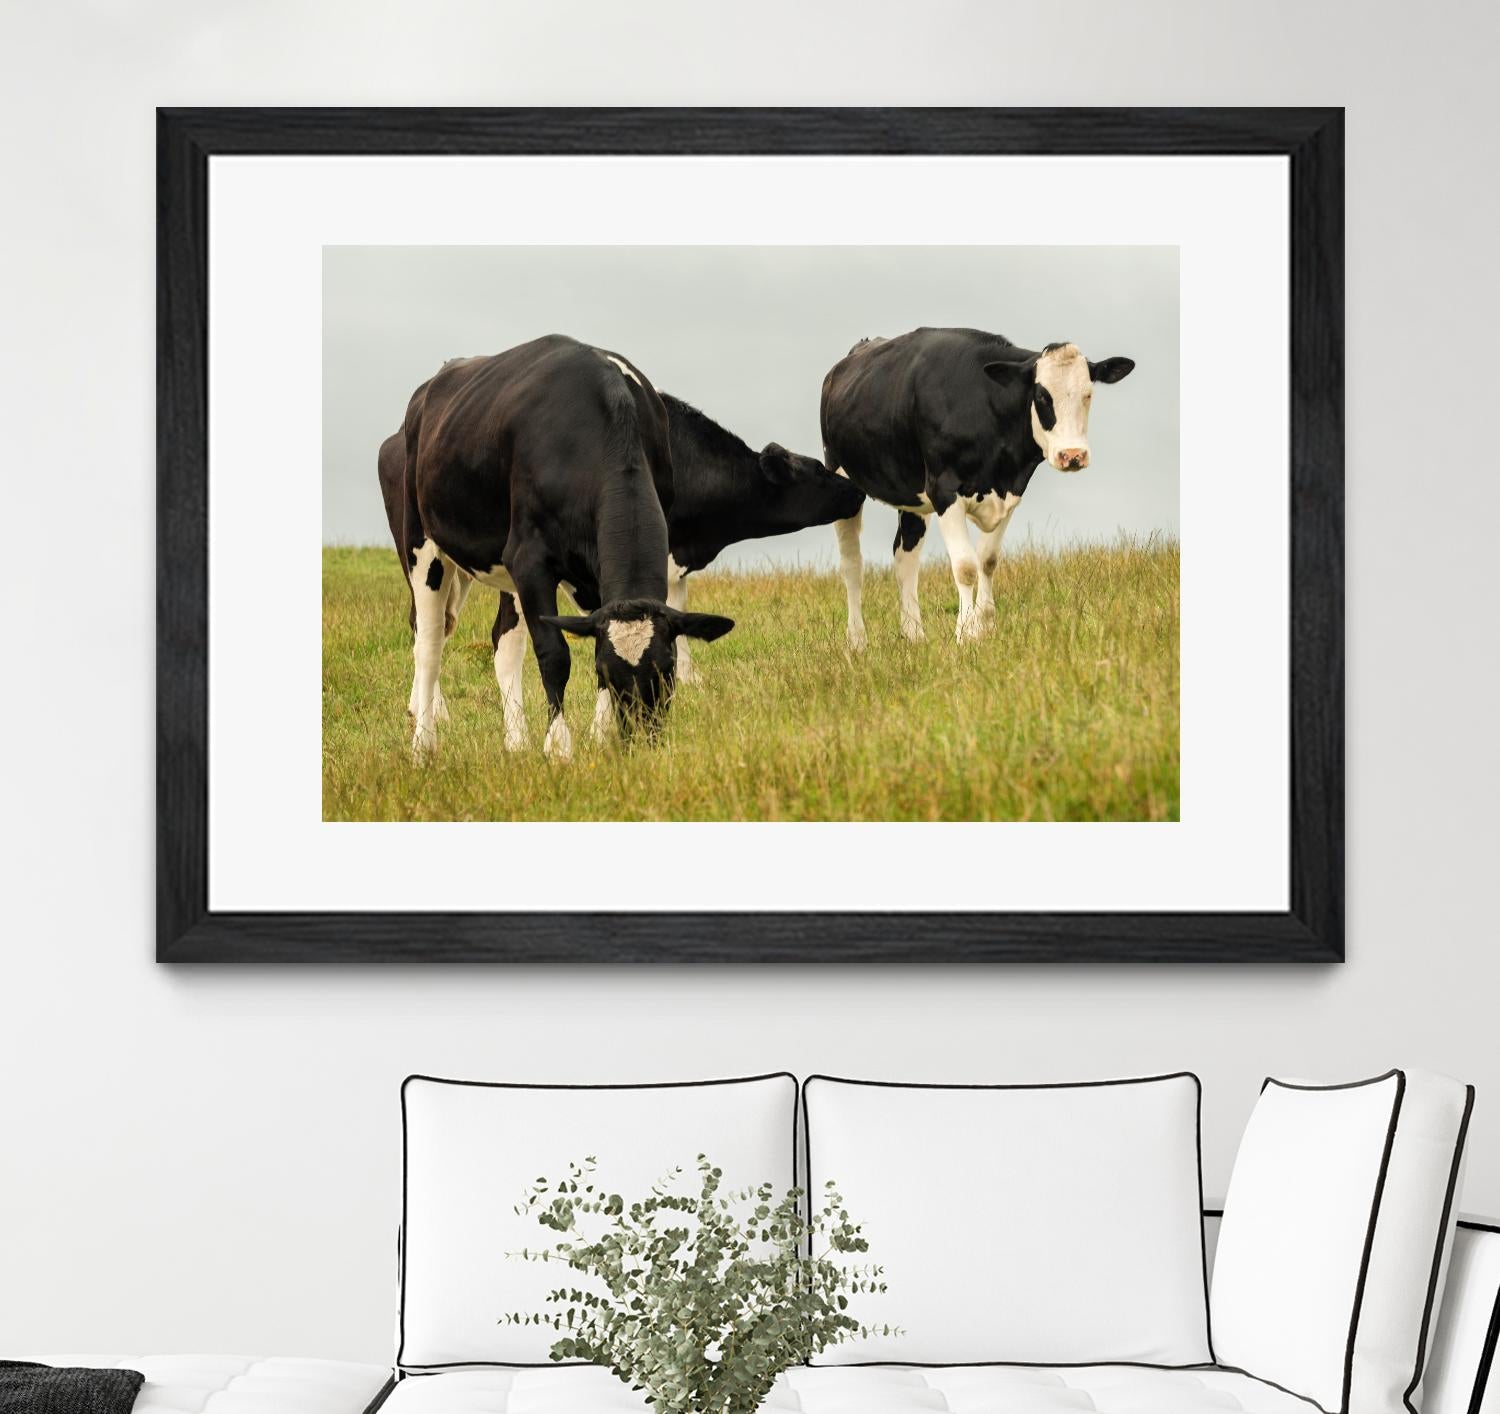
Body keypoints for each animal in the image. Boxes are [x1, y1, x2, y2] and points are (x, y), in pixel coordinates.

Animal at [395, 334, 733, 762]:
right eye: (606, 673)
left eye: (668, 668)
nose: (642, 740)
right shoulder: (529, 559)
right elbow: (553, 653)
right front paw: (558, 747)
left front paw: (600, 737)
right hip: (421, 544)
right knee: (429, 644)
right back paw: (424, 745)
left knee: (504, 644)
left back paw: (516, 742)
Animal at [820, 328, 1135, 646]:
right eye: (1042, 396)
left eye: (1088, 394)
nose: (1072, 455)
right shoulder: (943, 490)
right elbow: (966, 567)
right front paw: (966, 633)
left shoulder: (1010, 491)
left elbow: (987, 560)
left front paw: (986, 626)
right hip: (843, 483)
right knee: (852, 564)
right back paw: (857, 640)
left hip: (911, 495)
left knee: (905, 557)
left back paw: (914, 635)